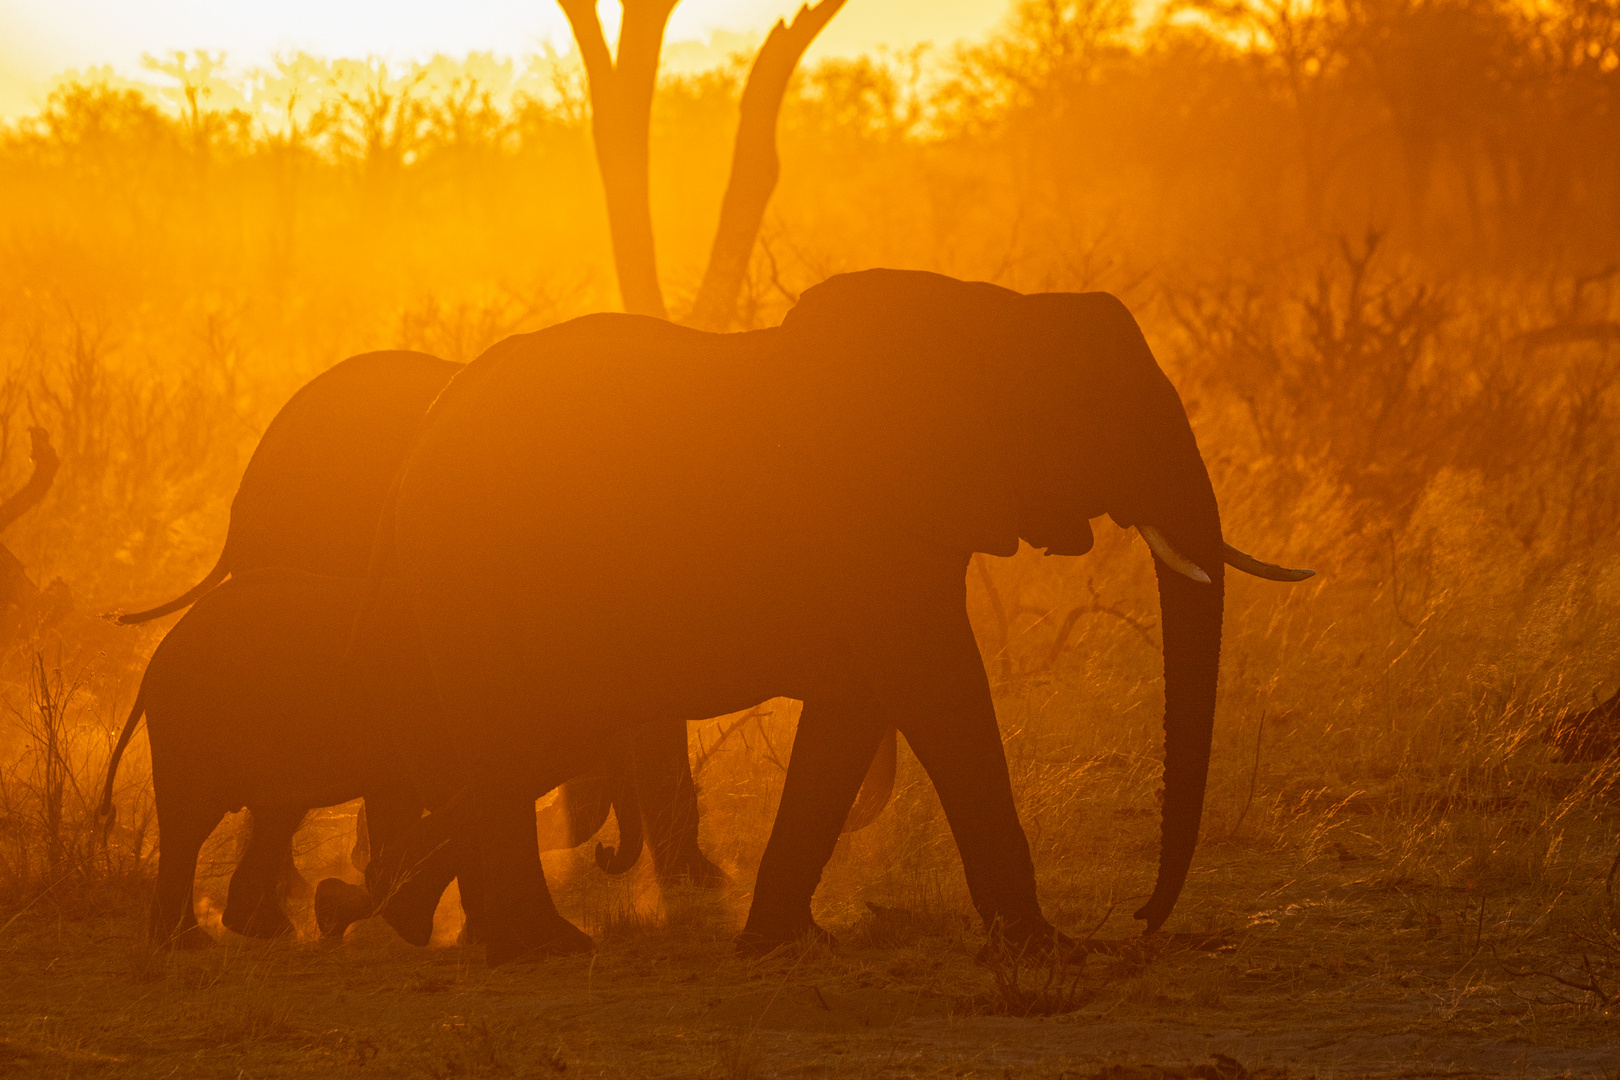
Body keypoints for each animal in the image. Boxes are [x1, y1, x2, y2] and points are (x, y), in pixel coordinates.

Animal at [98, 569, 644, 952]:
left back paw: (256, 934)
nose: (606, 854)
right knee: (192, 823)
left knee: (273, 813)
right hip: (190, 725)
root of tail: (154, 664)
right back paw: (195, 943)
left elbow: (399, 801)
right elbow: (438, 792)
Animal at [361, 268, 1308, 965]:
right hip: (477, 565)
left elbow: (854, 709)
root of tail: (423, 434)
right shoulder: (869, 520)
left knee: (521, 745)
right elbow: (937, 687)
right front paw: (1050, 951)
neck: (990, 313)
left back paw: (411, 919)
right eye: (1097, 410)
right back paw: (539, 948)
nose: (1144, 919)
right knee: (520, 737)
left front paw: (781, 945)